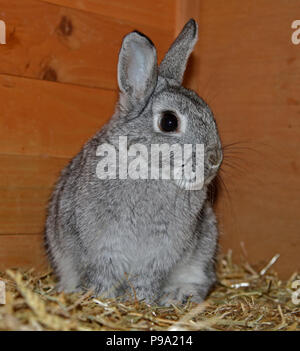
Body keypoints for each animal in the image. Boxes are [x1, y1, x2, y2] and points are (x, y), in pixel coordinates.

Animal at [44, 17, 223, 306]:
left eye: (211, 116)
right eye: (169, 122)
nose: (215, 159)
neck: (146, 167)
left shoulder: (157, 257)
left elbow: (144, 281)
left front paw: (141, 303)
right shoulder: (103, 249)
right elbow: (103, 277)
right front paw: (103, 300)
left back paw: (177, 297)